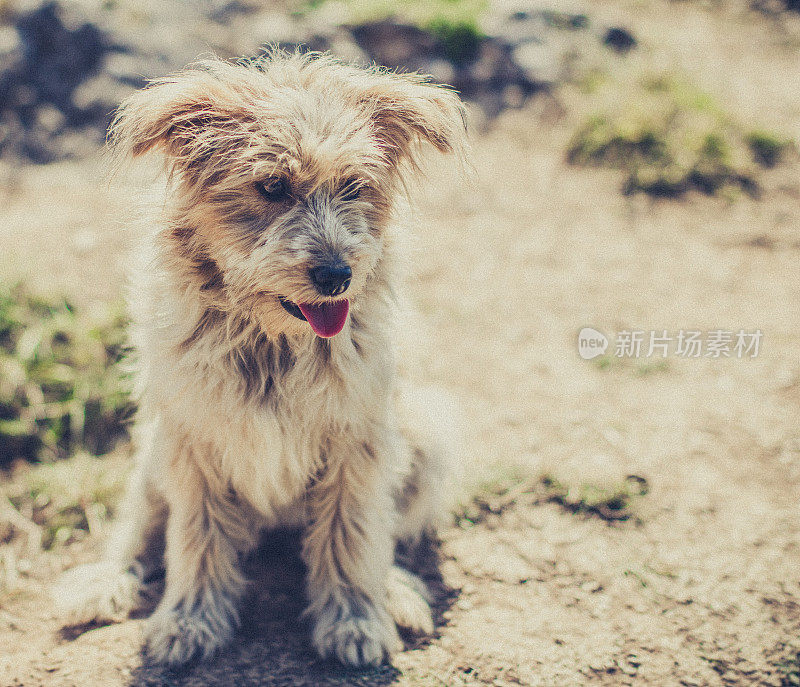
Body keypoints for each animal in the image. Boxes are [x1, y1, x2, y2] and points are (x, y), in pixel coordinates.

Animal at [54, 49, 468, 668]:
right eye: (272, 186)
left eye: (352, 186)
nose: (337, 275)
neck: (272, 342)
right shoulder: (194, 444)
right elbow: (194, 539)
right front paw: (190, 620)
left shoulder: (357, 442)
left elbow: (352, 533)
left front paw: (354, 621)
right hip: (153, 458)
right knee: (139, 532)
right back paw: (106, 580)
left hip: (428, 439)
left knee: (386, 534)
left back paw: (393, 591)